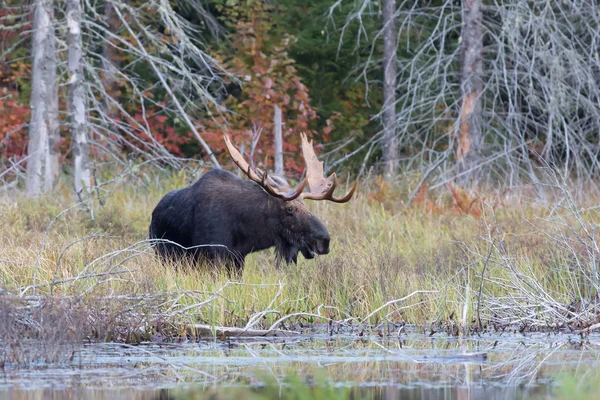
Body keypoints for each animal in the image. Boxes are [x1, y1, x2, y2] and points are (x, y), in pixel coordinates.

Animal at [149, 132, 356, 276]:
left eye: (306, 206)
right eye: (289, 208)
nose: (324, 240)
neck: (246, 234)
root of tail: (153, 214)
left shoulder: (238, 259)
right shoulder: (212, 256)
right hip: (164, 255)